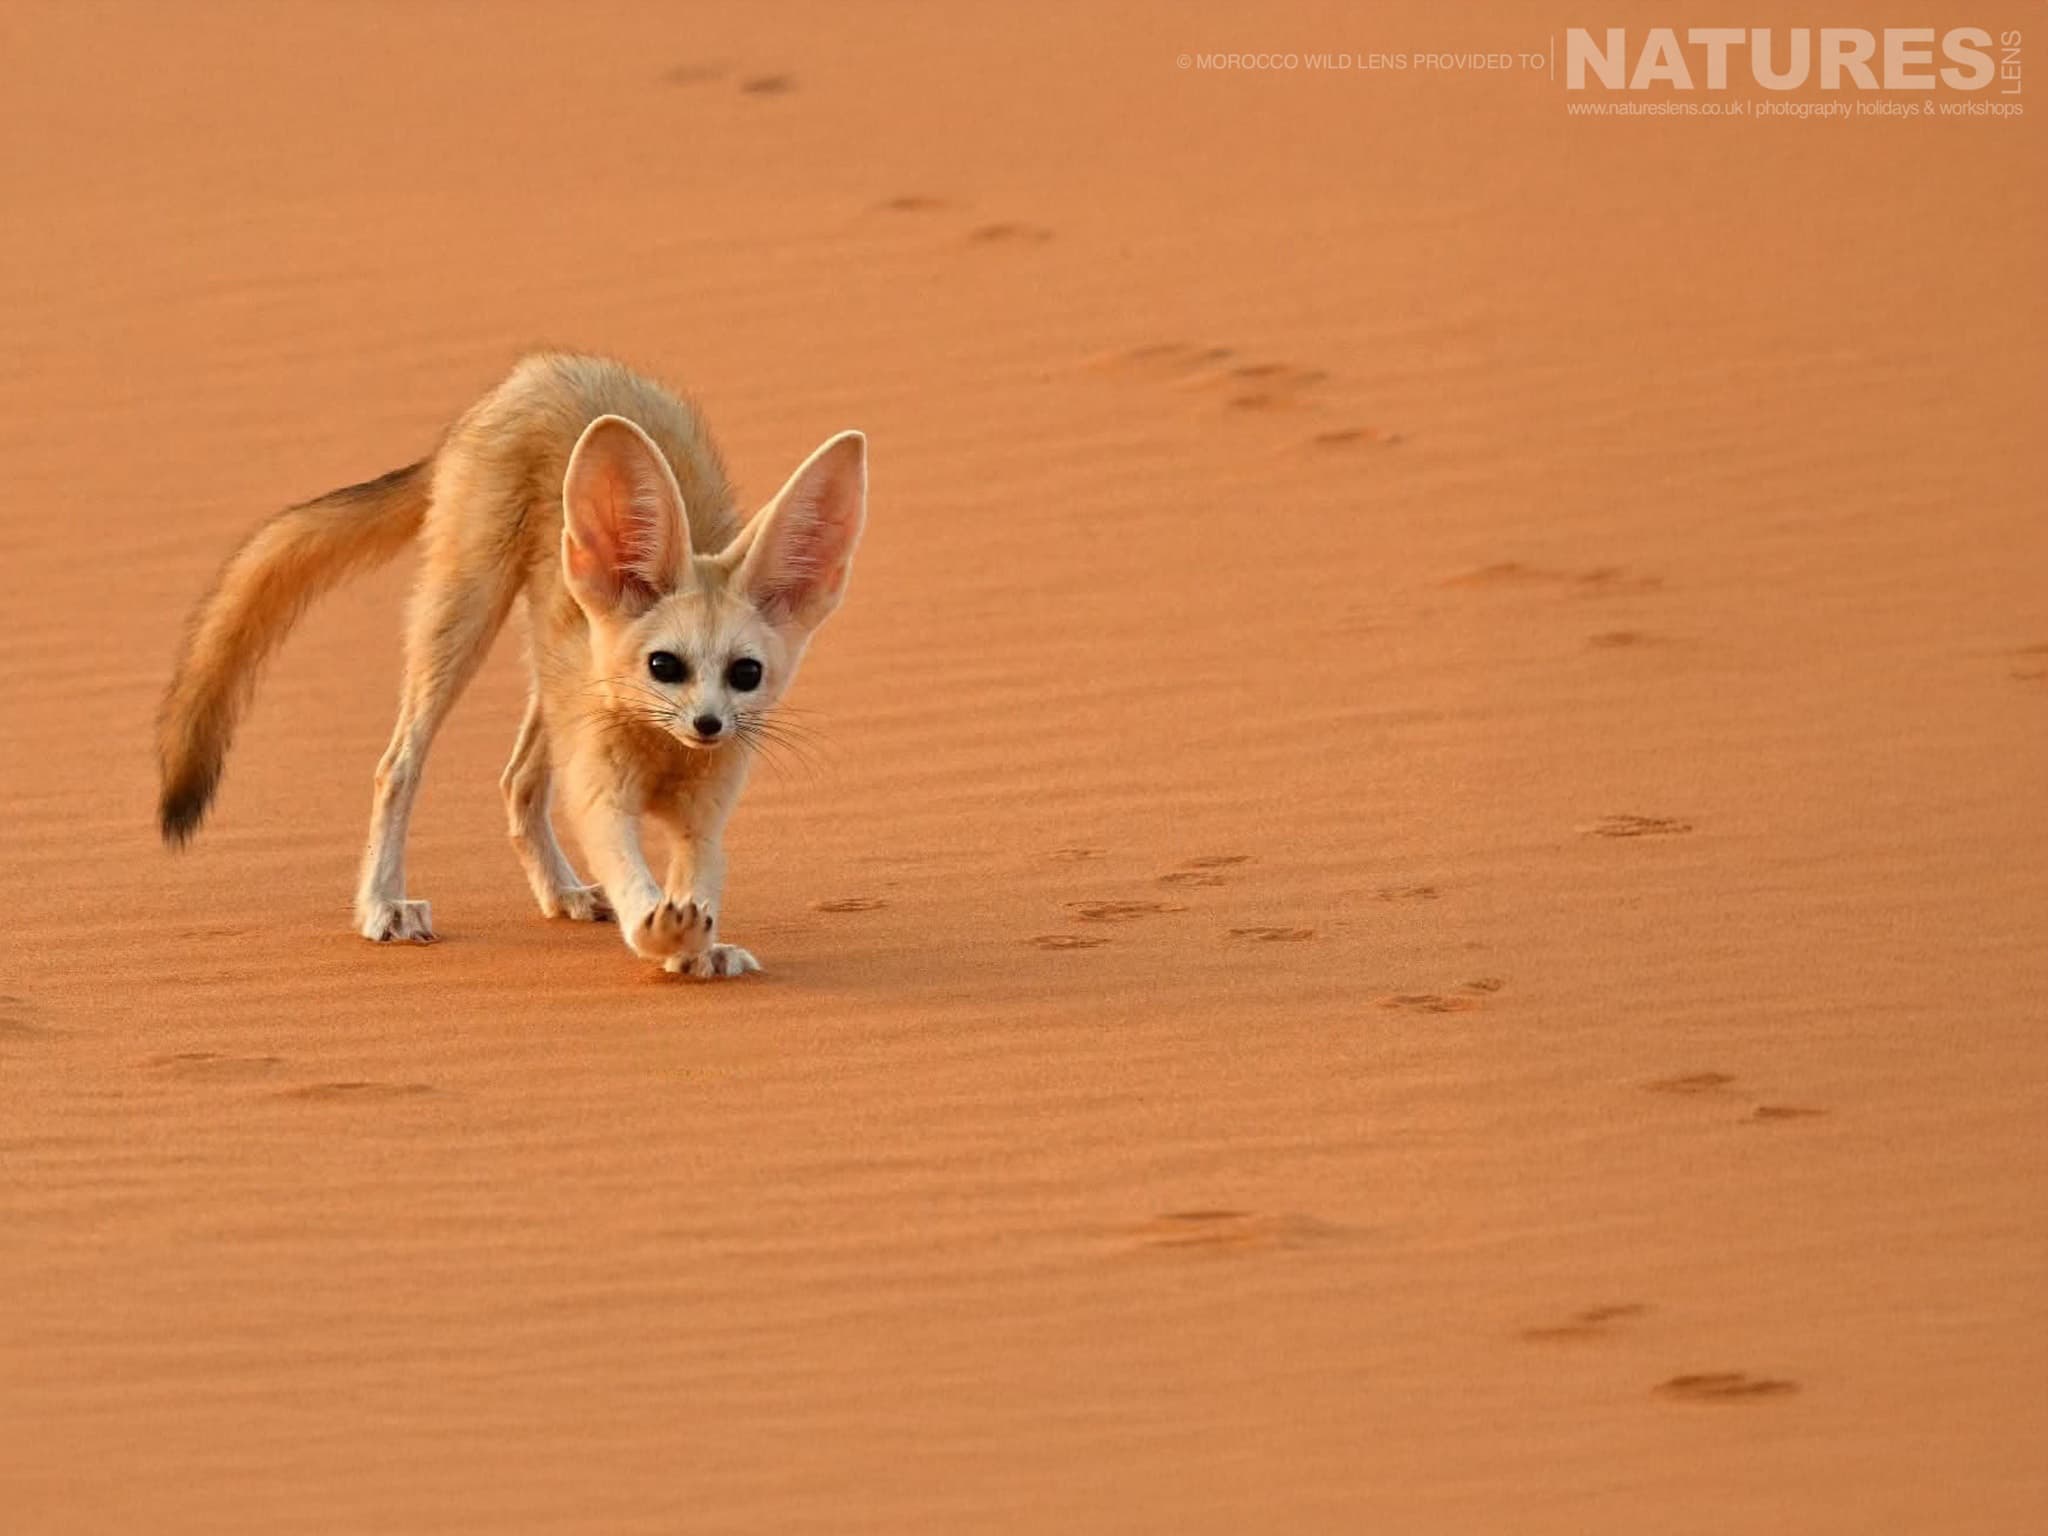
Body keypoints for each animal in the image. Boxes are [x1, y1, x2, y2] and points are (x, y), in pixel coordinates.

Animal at [157, 352, 867, 976]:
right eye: (664, 665)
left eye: (746, 674)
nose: (709, 726)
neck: (663, 757)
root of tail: (528, 375)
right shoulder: (600, 794)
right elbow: (631, 874)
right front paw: (662, 931)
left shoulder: (704, 817)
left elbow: (701, 881)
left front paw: (700, 946)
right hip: (465, 616)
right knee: (399, 766)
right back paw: (383, 904)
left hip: (547, 671)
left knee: (516, 779)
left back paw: (561, 893)